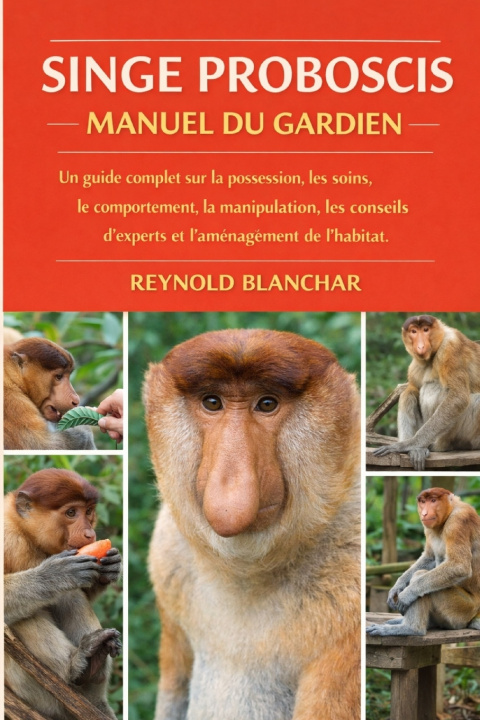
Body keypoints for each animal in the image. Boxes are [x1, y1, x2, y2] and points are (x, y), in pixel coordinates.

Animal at [4, 469, 122, 719]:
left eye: (88, 511)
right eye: (71, 512)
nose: (90, 534)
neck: (25, 533)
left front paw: (111, 567)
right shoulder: (8, 539)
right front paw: (57, 573)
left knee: (71, 596)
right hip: (32, 691)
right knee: (24, 614)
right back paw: (74, 666)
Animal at [366, 487, 480, 637]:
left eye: (433, 500)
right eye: (423, 502)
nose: (424, 513)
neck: (449, 514)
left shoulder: (458, 521)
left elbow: (459, 566)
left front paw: (406, 595)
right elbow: (429, 557)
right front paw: (397, 587)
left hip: (461, 609)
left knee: (420, 575)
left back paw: (410, 629)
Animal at [373, 315, 480, 470]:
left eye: (425, 329)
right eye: (414, 331)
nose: (420, 346)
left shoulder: (450, 348)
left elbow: (458, 397)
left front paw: (408, 444)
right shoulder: (415, 366)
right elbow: (413, 388)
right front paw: (413, 448)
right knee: (409, 393)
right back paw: (418, 450)